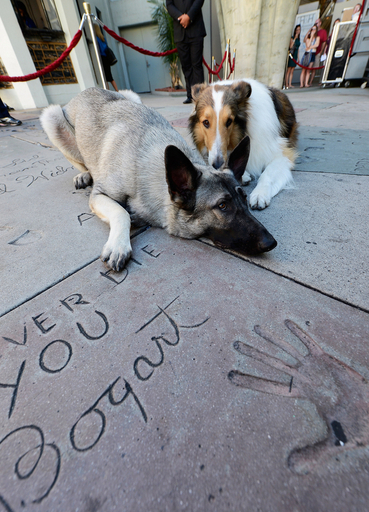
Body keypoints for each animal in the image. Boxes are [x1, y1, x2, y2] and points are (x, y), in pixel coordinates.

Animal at [40, 88, 276, 272]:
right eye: (223, 206)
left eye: (244, 200)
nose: (271, 243)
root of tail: (87, 90)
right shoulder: (99, 195)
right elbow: (120, 212)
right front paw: (119, 244)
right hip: (52, 118)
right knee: (81, 162)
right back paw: (84, 174)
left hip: (131, 96)